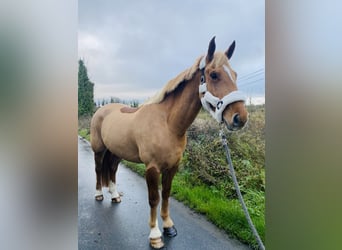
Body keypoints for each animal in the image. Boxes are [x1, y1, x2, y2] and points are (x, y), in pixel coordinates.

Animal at [89, 36, 247, 248]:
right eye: (214, 75)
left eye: (235, 74)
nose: (240, 118)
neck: (168, 124)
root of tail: (101, 110)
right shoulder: (152, 168)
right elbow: (154, 199)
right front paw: (155, 235)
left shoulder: (172, 167)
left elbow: (166, 194)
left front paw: (168, 227)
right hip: (99, 150)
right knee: (99, 170)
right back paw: (99, 194)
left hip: (116, 152)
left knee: (112, 169)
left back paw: (114, 196)